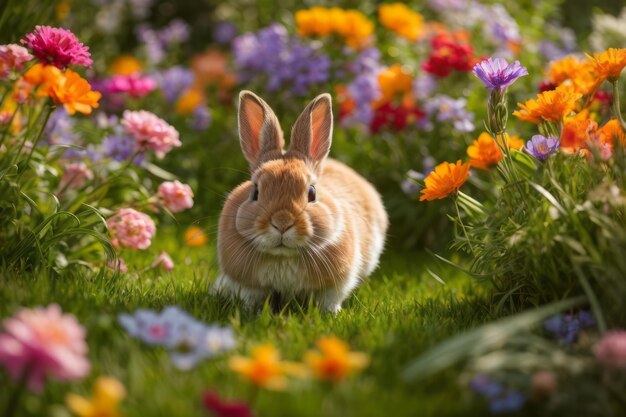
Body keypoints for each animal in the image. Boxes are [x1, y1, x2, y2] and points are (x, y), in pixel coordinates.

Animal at [216, 91, 390, 312]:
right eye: (255, 192)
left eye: (312, 193)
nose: (282, 223)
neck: (283, 256)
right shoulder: (247, 286)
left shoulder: (335, 286)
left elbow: (329, 300)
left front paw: (330, 314)